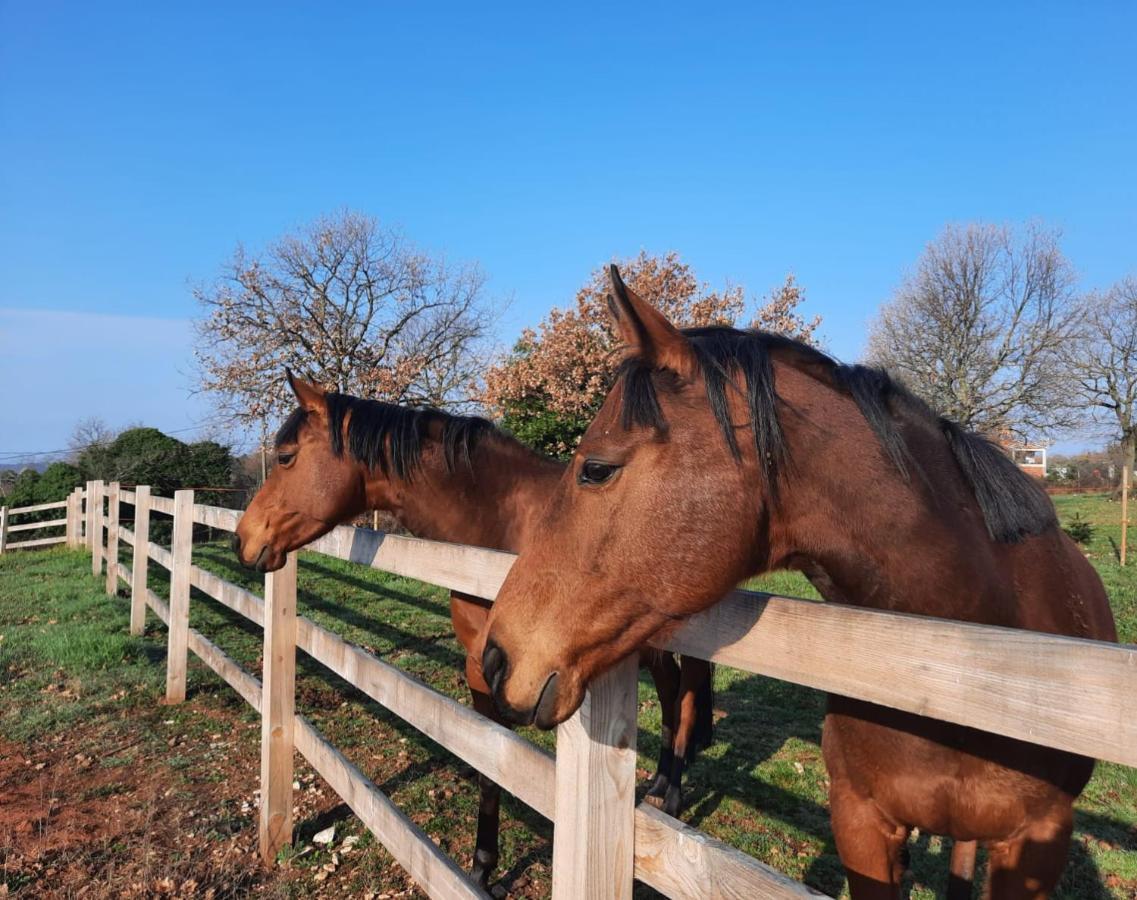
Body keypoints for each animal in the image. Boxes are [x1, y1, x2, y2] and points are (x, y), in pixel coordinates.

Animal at [230, 370, 709, 886]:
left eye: (285, 456)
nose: (242, 540)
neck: (503, 531)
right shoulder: (482, 665)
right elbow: (488, 758)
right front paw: (483, 863)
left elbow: (493, 763)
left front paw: (483, 867)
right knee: (671, 690)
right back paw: (659, 784)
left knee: (685, 694)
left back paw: (672, 795)